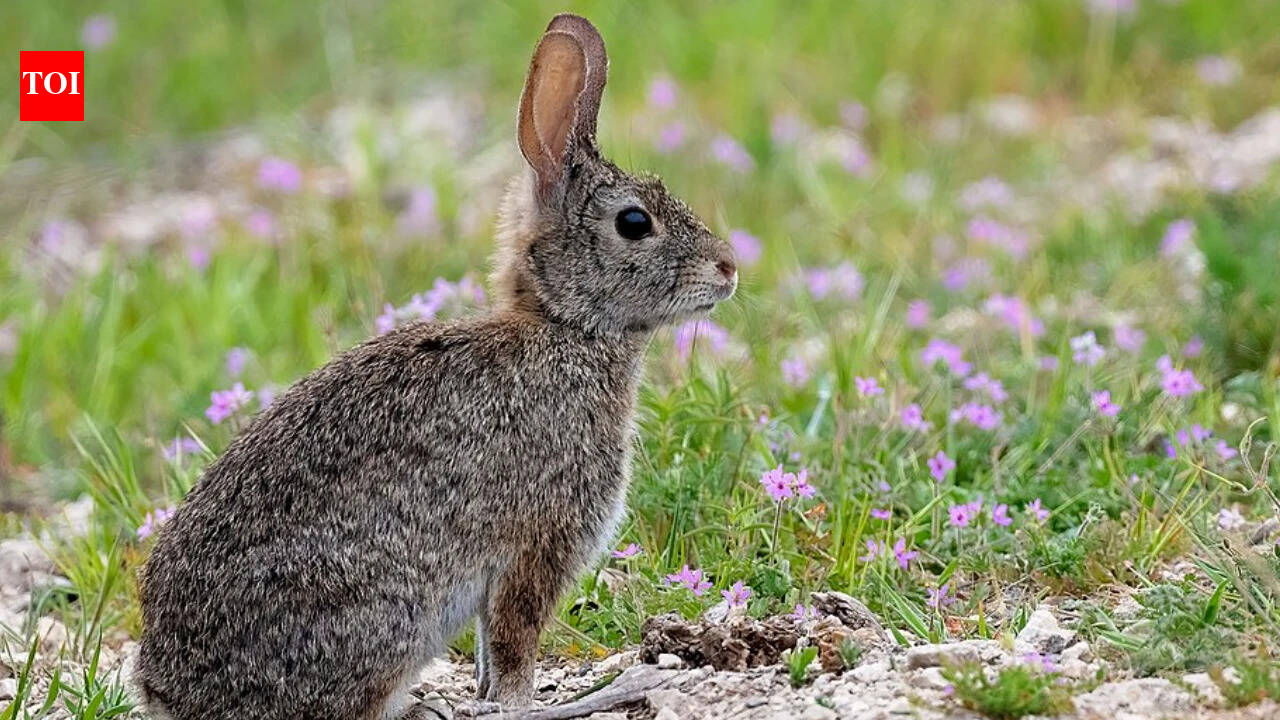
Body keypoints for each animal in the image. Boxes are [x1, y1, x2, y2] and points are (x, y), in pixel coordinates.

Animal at [135, 12, 737, 720]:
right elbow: (513, 643)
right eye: (635, 221)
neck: (564, 324)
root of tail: (169, 693)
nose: (729, 267)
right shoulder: (539, 540)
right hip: (384, 619)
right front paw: (523, 704)